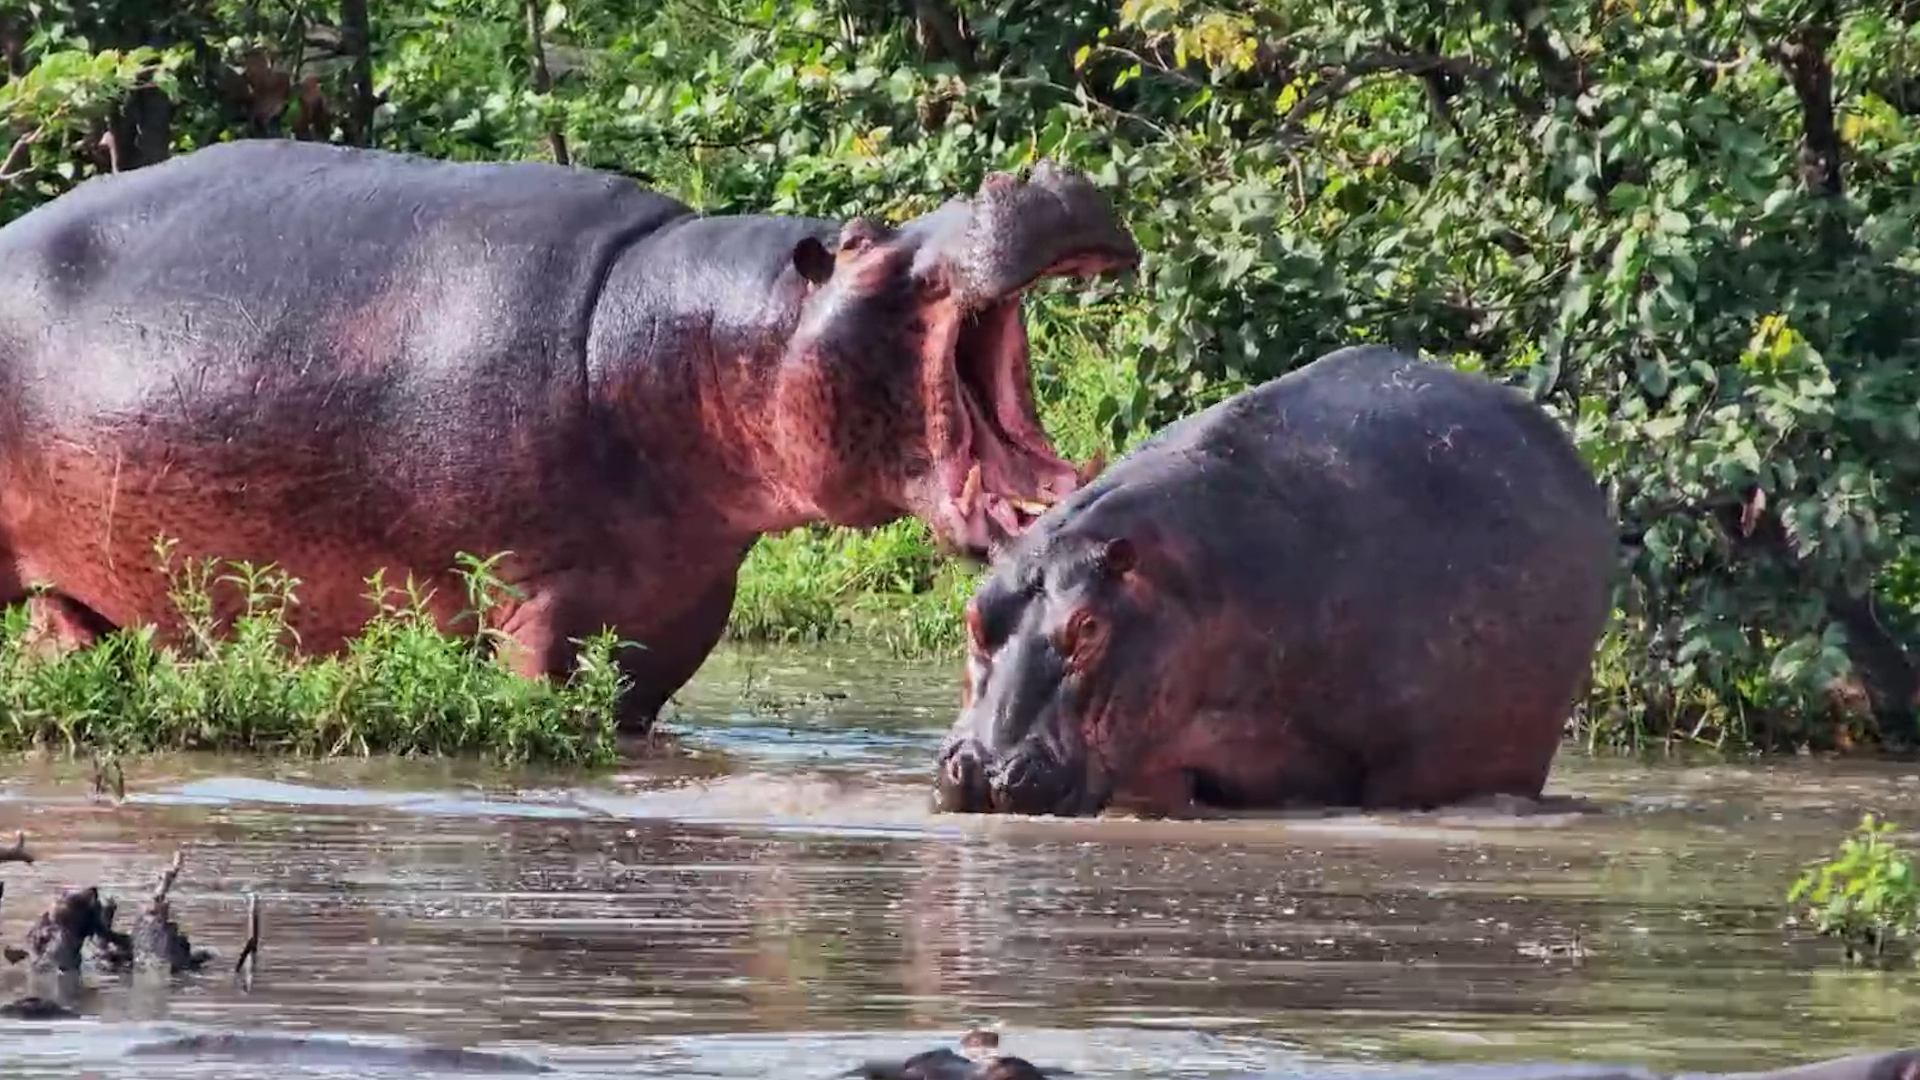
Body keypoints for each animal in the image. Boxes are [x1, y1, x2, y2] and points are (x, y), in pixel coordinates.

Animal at [0, 139, 1136, 732]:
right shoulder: (535, 601)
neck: (686, 336)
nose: (1042, 177)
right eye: (860, 242)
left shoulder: (673, 613)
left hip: (83, 589)